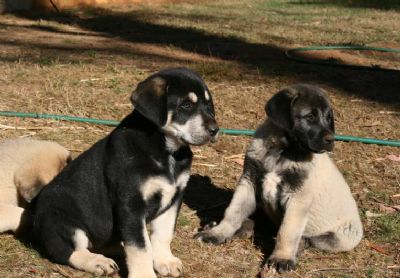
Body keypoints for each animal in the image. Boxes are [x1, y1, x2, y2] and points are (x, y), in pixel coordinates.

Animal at [14, 68, 219, 278]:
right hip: (62, 222)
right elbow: (140, 246)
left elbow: (163, 234)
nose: (215, 130)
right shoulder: (130, 204)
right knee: (68, 251)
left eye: (208, 104)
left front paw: (164, 260)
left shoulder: (174, 198)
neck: (166, 150)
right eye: (186, 105)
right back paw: (98, 262)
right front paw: (144, 274)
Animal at [197, 84, 362, 274]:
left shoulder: (298, 198)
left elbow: (287, 231)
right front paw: (217, 233)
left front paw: (281, 258)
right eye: (310, 116)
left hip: (340, 237)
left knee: (307, 239)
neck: (282, 151)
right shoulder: (248, 182)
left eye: (329, 118)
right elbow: (233, 212)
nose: (331, 140)